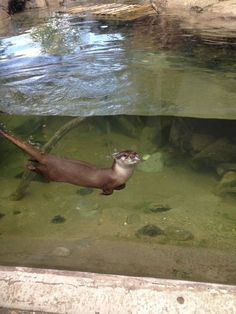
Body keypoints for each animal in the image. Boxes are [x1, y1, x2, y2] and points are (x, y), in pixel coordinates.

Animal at [0, 127, 139, 195]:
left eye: (135, 152)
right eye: (125, 155)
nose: (134, 156)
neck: (120, 175)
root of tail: (48, 157)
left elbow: (122, 186)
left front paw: (121, 187)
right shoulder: (107, 182)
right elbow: (107, 189)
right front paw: (103, 194)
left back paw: (30, 159)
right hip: (51, 173)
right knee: (41, 171)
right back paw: (30, 166)